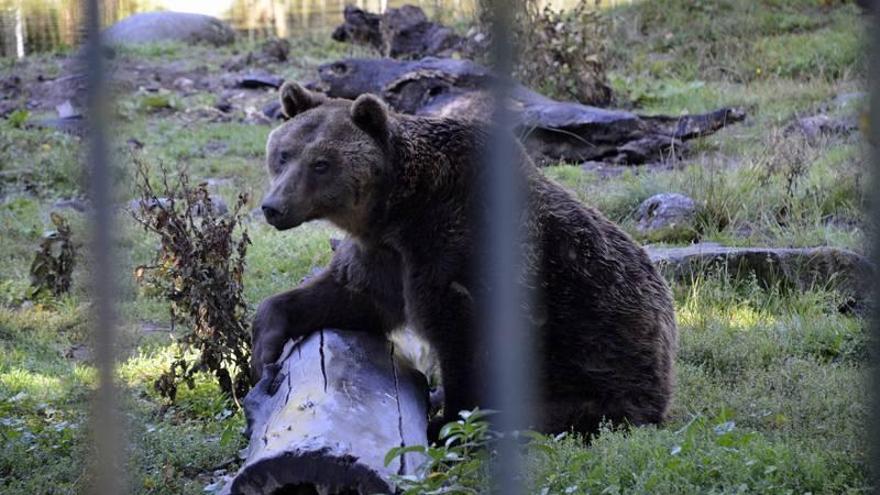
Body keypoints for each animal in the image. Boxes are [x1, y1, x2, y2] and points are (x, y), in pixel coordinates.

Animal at [251, 81, 676, 438]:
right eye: (283, 155)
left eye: (321, 164)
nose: (274, 207)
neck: (400, 208)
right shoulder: (385, 255)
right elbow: (350, 297)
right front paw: (266, 350)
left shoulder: (454, 249)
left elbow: (463, 341)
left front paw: (449, 421)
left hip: (597, 376)